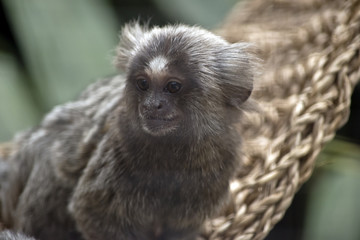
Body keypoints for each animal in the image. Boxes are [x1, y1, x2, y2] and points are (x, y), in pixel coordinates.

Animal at [0, 23, 255, 240]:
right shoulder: (115, 154)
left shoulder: (218, 168)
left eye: (173, 86)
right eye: (143, 84)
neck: (173, 154)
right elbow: (91, 211)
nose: (152, 105)